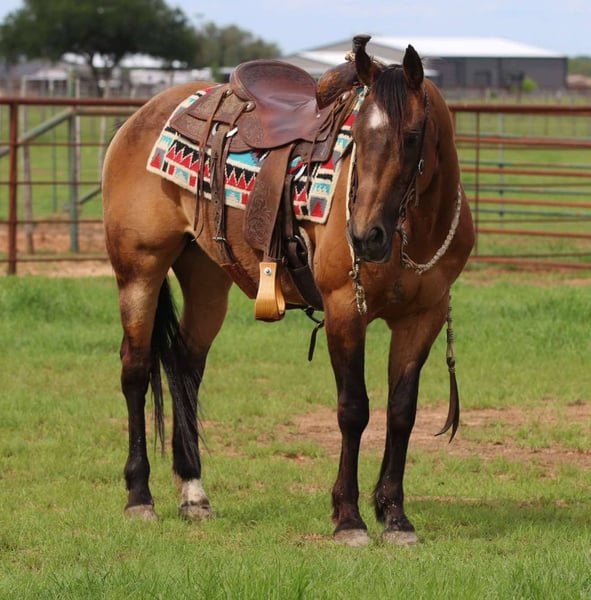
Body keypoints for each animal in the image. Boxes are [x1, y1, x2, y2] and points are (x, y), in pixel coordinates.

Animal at [101, 35, 474, 546]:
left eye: (412, 137)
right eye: (358, 138)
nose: (366, 236)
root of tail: (141, 116)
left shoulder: (424, 317)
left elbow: (402, 412)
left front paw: (395, 517)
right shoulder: (344, 309)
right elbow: (354, 409)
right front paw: (349, 518)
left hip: (206, 278)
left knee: (185, 367)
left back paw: (194, 493)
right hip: (139, 271)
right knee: (136, 371)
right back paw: (139, 497)